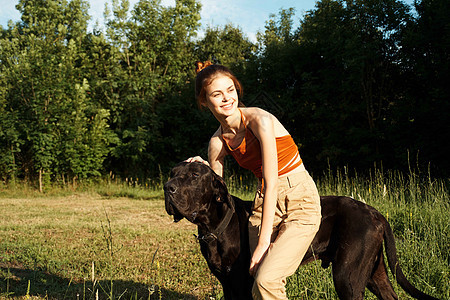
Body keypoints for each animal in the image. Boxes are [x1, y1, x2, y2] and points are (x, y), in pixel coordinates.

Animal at [163, 163, 438, 298]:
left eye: (195, 175)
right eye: (172, 173)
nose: (168, 187)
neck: (215, 228)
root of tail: (375, 212)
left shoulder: (241, 285)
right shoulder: (227, 285)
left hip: (347, 277)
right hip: (374, 273)